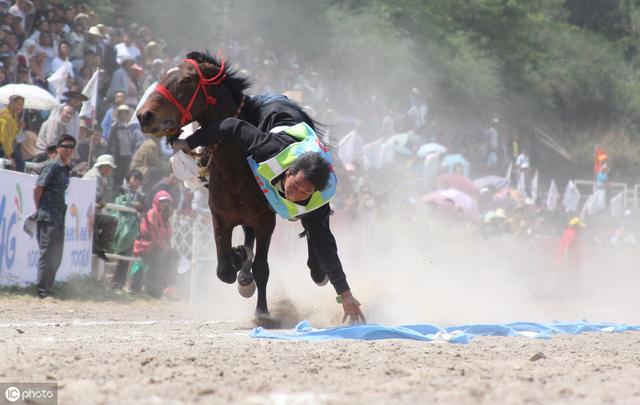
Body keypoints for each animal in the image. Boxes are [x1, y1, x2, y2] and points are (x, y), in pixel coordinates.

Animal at [139, 51, 318, 322]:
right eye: (162, 75)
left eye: (187, 80)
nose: (144, 115)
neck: (236, 169)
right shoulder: (219, 218)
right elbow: (224, 269)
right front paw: (240, 265)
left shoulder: (266, 221)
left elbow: (261, 268)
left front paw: (262, 311)